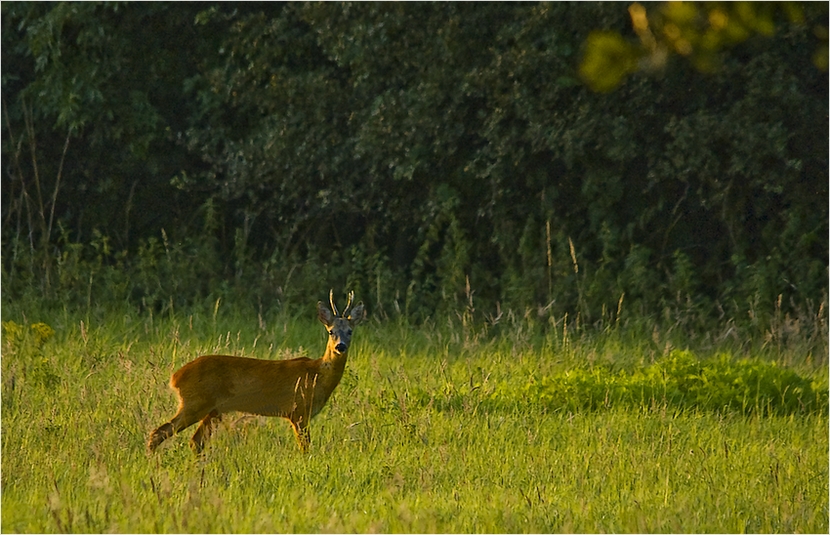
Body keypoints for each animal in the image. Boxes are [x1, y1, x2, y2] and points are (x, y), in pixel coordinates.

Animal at [148, 292, 362, 454]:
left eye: (350, 331)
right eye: (331, 331)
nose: (341, 346)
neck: (317, 375)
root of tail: (175, 377)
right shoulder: (298, 411)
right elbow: (306, 448)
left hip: (213, 410)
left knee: (195, 441)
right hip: (195, 403)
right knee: (158, 433)